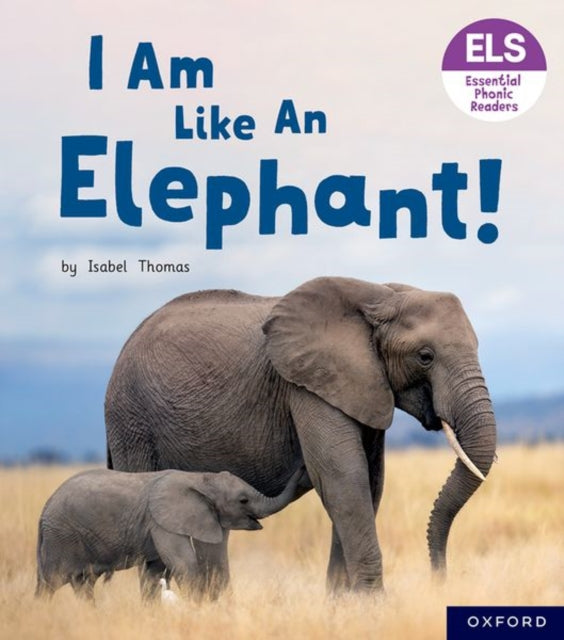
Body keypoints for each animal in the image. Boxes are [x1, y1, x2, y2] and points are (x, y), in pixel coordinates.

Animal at [35, 466, 302, 601]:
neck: (201, 478)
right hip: (61, 538)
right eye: (243, 500)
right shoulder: (162, 522)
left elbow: (159, 570)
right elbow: (184, 563)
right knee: (50, 582)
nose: (302, 468)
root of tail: (44, 509)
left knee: (83, 585)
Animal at [105, 276, 497, 594]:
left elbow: (369, 482)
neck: (379, 296)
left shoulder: (362, 384)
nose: (438, 580)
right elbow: (343, 478)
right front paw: (373, 606)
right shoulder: (306, 385)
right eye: (425, 356)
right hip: (132, 421)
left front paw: (345, 606)